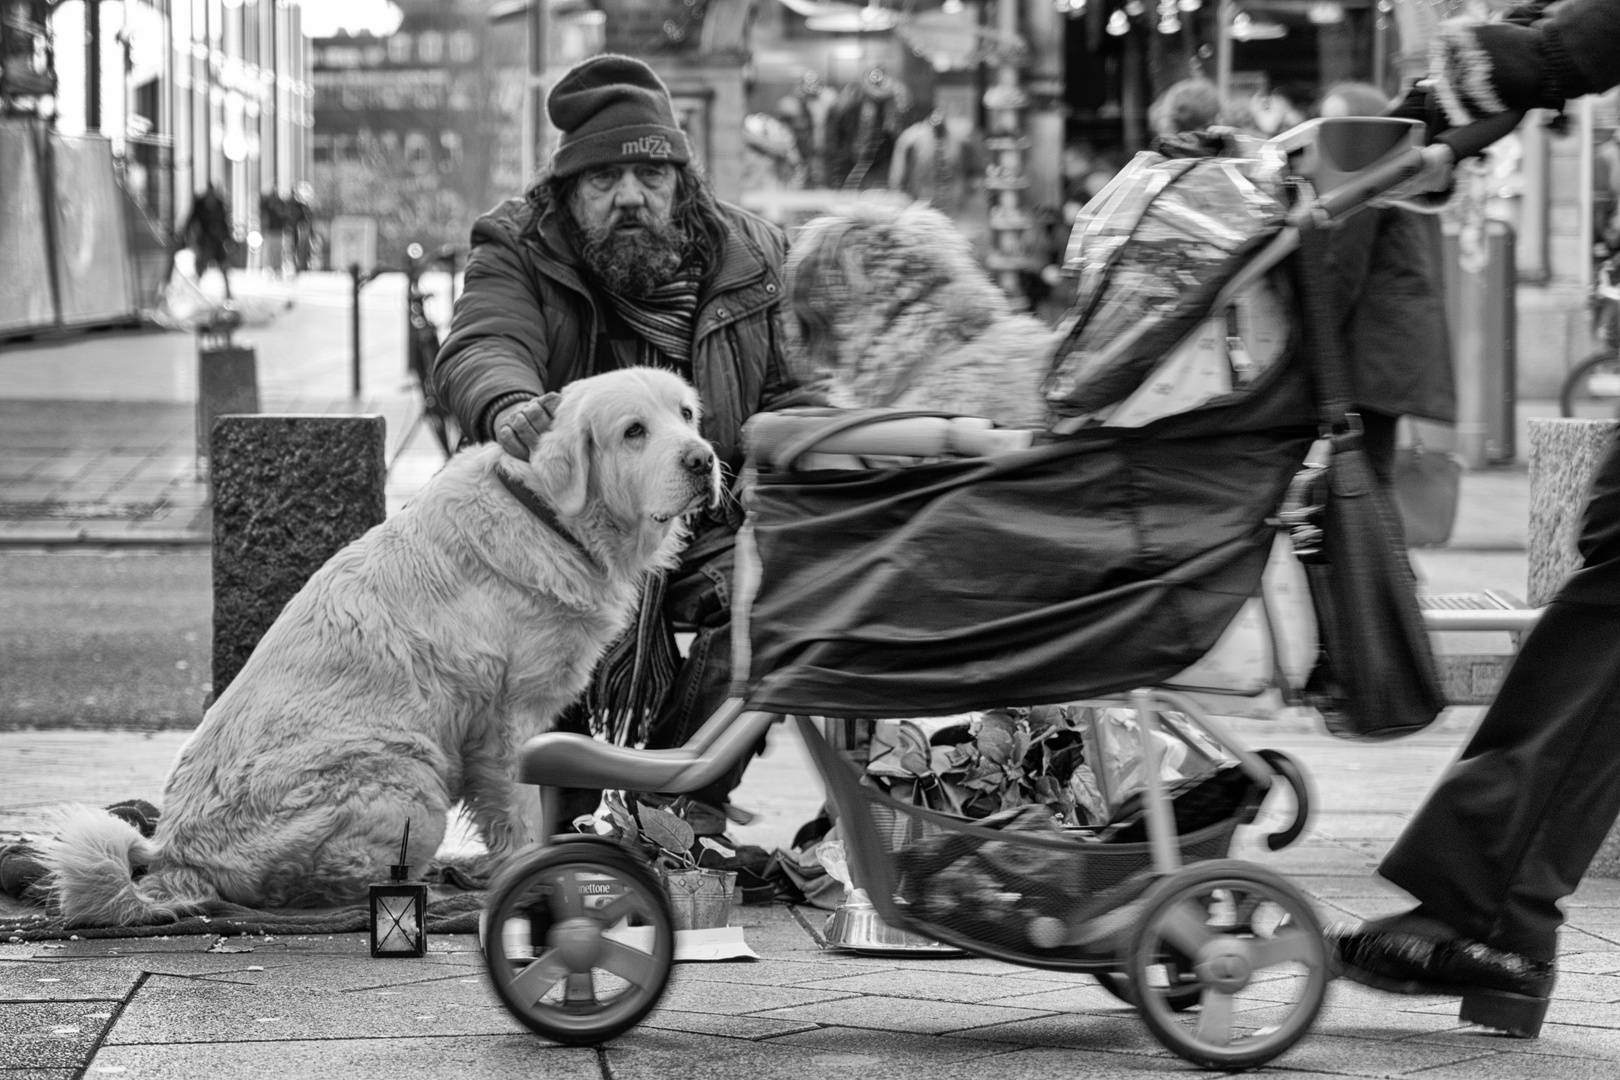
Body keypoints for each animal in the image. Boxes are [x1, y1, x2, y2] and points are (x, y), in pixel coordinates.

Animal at [45, 367, 716, 926]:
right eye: (634, 431)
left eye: (686, 414)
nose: (705, 459)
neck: (549, 518)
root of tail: (175, 858)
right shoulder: (509, 722)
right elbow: (523, 813)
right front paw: (535, 876)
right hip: (409, 777)